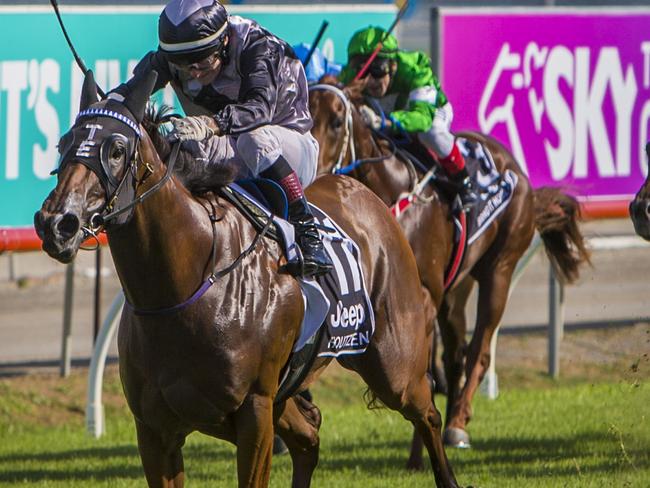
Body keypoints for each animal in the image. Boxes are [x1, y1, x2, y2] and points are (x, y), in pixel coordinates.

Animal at [34, 70, 456, 486]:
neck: (184, 287)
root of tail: (363, 192)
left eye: (117, 149)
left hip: (394, 365)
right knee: (309, 436)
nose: (56, 223)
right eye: (64, 142)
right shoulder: (155, 431)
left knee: (427, 414)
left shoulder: (254, 411)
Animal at [308, 78, 588, 464]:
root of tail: (514, 166)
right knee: (455, 355)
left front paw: (422, 445)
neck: (390, 194)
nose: (314, 174)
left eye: (337, 121)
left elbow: (423, 370)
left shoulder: (423, 297)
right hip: (456, 290)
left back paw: (457, 424)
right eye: (306, 113)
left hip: (499, 271)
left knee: (479, 351)